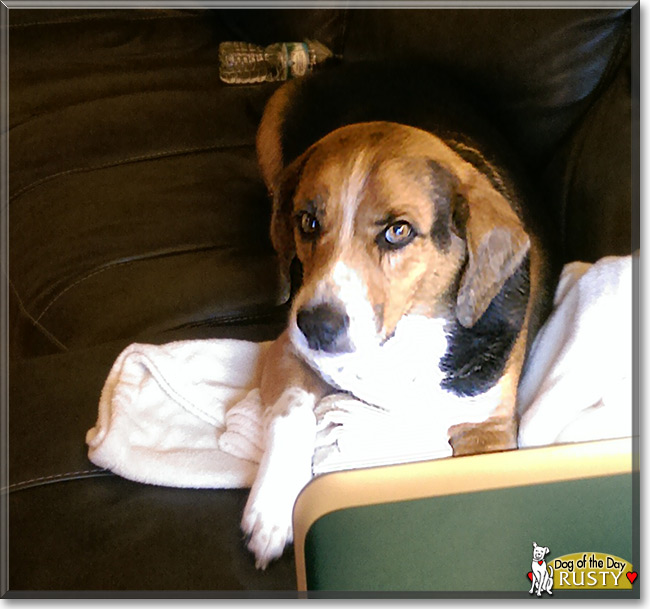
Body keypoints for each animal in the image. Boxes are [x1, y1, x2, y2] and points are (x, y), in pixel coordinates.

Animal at [240, 64, 556, 568]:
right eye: (308, 222)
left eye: (398, 231)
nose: (317, 326)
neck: (403, 337)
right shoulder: (288, 352)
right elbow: (291, 414)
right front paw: (270, 511)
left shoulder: (486, 430)